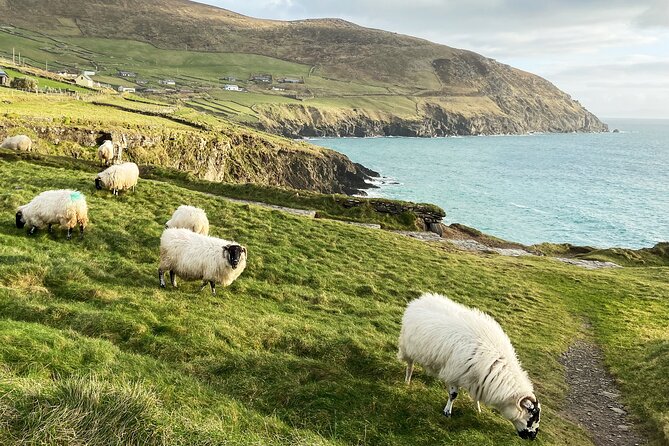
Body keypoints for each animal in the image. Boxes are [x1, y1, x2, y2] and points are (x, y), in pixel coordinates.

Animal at [400, 292, 540, 440]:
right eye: (532, 417)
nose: (533, 436)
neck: (497, 367)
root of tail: (420, 299)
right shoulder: (455, 373)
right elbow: (453, 395)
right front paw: (447, 412)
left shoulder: (477, 381)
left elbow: (475, 397)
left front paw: (478, 410)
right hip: (408, 347)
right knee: (410, 365)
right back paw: (407, 380)